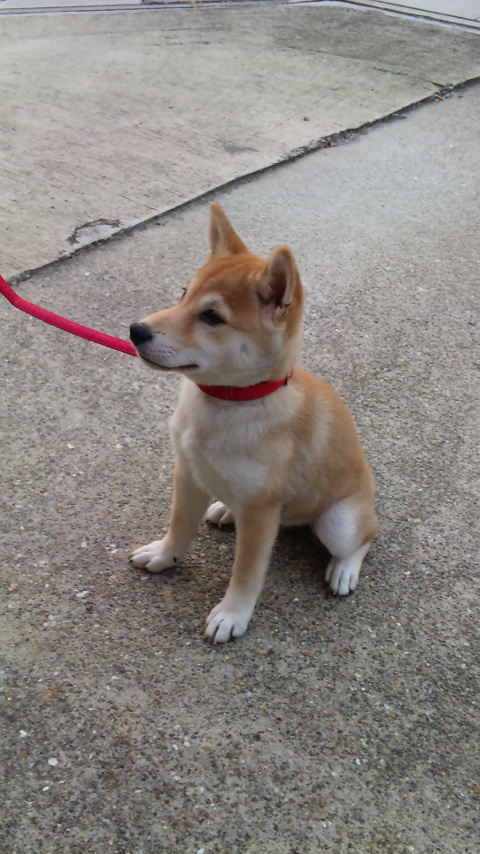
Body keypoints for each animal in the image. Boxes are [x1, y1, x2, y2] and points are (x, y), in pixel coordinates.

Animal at [129, 203, 378, 642]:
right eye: (183, 293)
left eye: (212, 317)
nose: (135, 330)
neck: (227, 403)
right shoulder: (187, 473)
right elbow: (179, 525)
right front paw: (164, 555)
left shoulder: (262, 511)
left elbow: (246, 572)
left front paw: (233, 614)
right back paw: (226, 510)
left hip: (340, 522)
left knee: (364, 537)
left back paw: (344, 568)